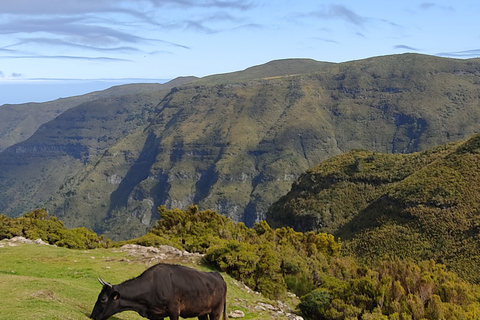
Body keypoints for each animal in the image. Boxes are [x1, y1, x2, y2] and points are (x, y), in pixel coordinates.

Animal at [90, 264, 229, 318]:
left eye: (103, 299)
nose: (92, 316)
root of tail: (218, 275)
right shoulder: (155, 315)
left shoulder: (174, 311)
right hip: (202, 312)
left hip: (216, 311)